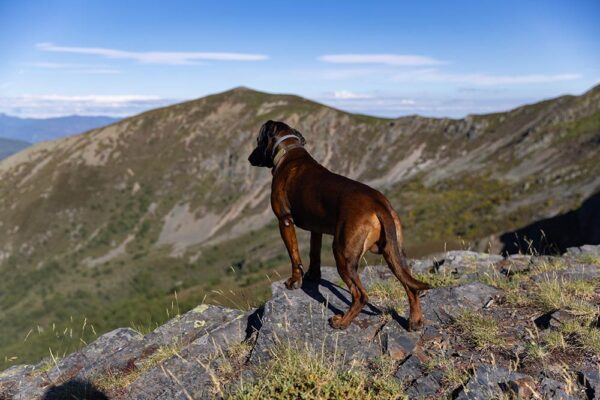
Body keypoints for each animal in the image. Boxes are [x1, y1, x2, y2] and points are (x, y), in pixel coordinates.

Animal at [248, 120, 432, 330]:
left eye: (258, 140)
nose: (249, 158)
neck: (288, 151)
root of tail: (378, 204)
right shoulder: (316, 230)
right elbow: (314, 254)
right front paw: (312, 275)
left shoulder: (284, 221)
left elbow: (294, 256)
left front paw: (295, 281)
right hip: (395, 252)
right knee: (410, 285)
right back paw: (415, 320)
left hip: (343, 253)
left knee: (360, 295)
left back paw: (342, 322)